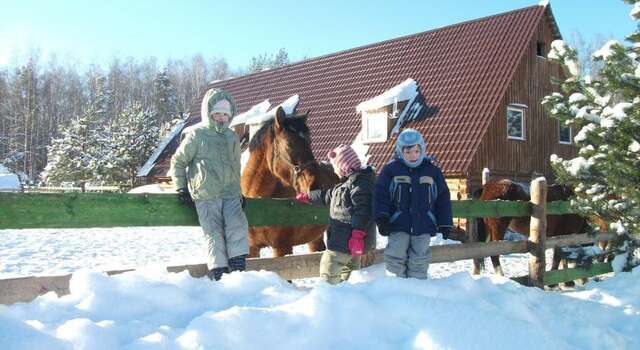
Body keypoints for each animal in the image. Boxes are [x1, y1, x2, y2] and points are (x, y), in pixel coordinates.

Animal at [241, 106, 340, 258]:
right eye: (289, 143)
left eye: (309, 142)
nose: (315, 184)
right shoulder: (252, 249)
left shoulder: (282, 247)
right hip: (315, 238)